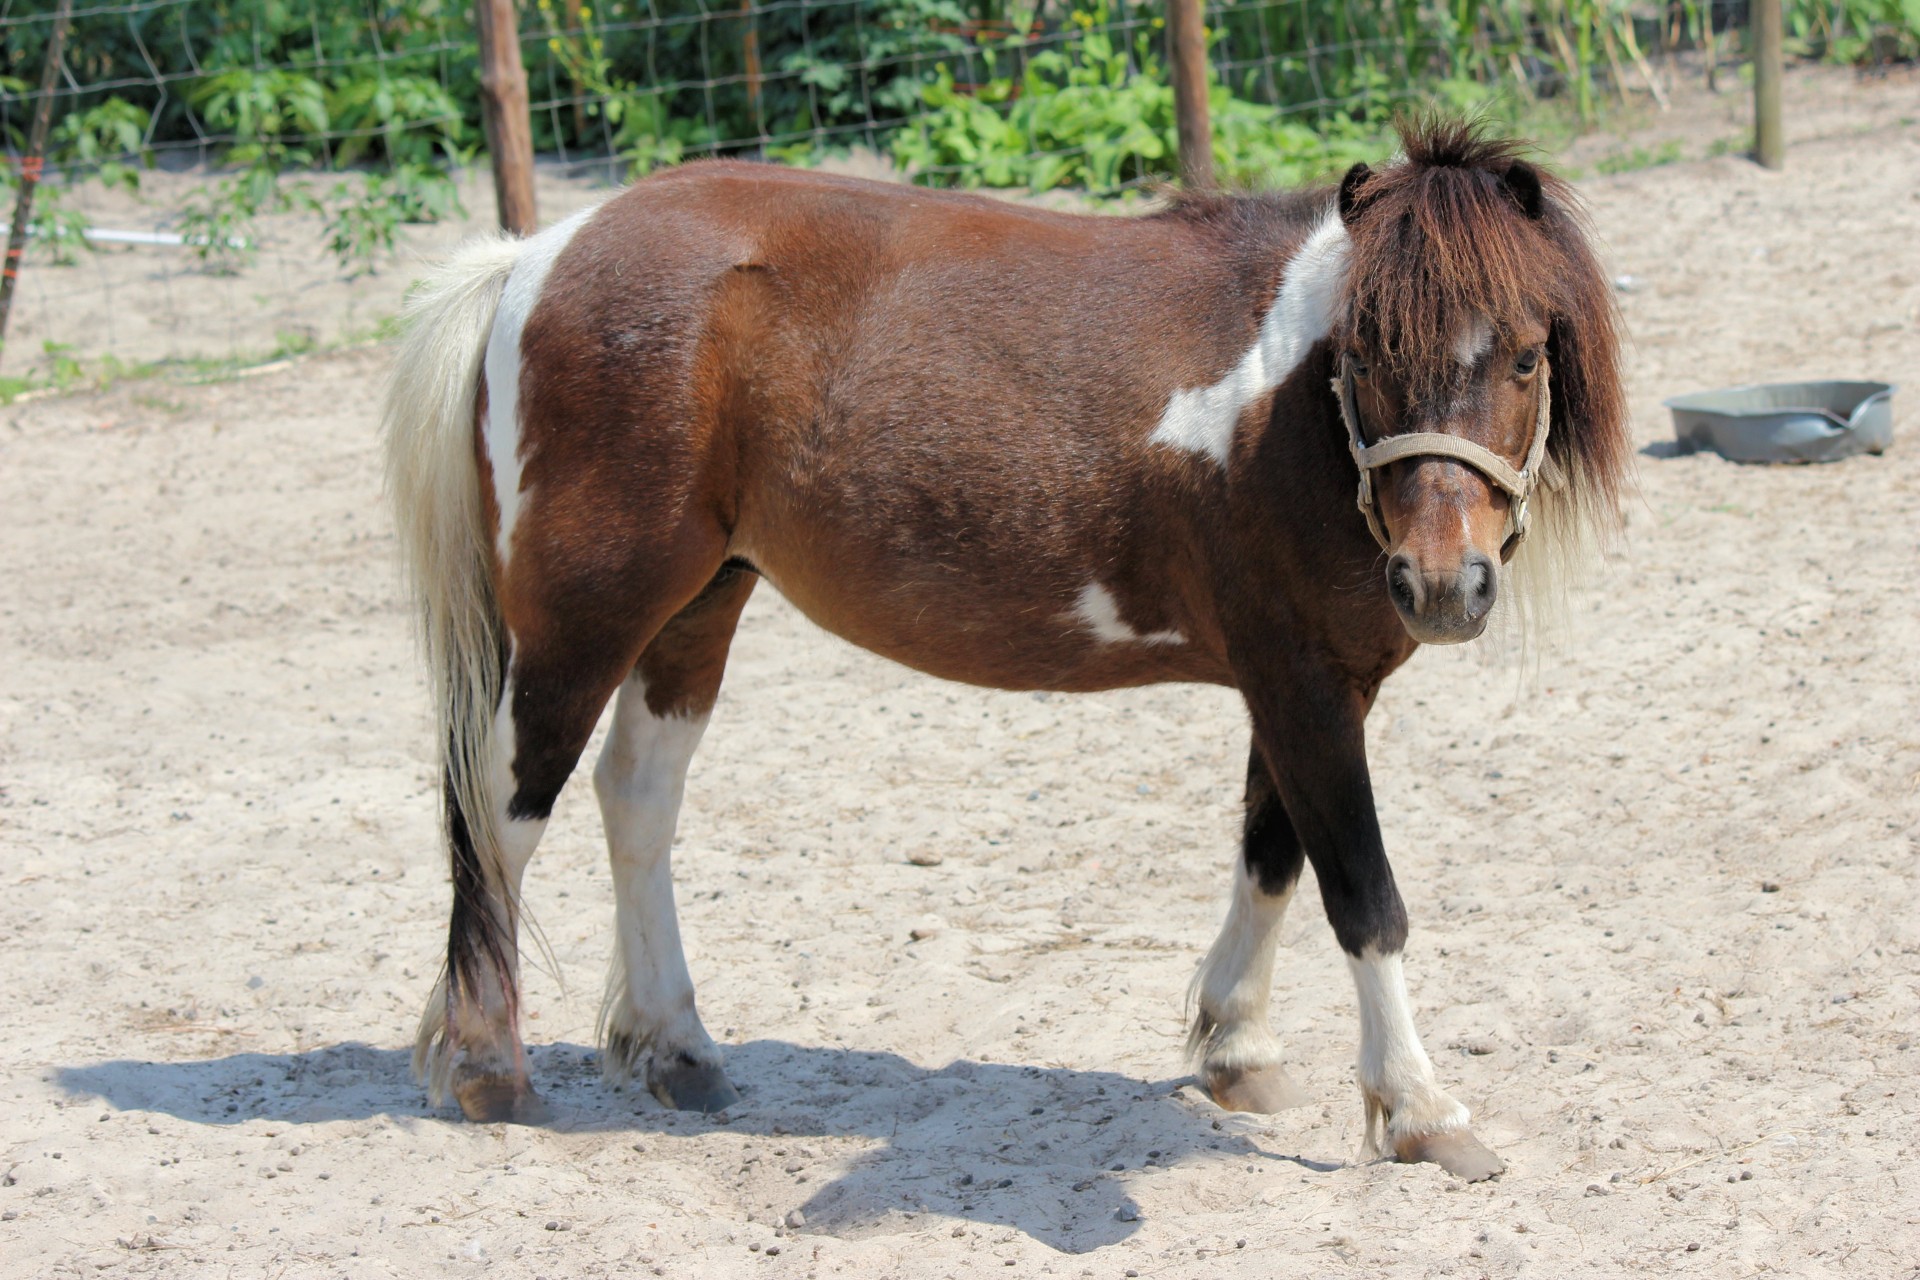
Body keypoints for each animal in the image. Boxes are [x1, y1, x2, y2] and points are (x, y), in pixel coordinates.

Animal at [385, 117, 1620, 1182]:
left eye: (1524, 357)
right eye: (1364, 351)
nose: (1442, 584)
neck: (1287, 400)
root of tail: (536, 256)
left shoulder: (1310, 685)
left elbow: (1272, 857)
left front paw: (1237, 1050)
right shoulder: (1303, 687)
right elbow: (1362, 892)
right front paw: (1420, 1109)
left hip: (699, 605)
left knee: (636, 799)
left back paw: (674, 1048)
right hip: (582, 620)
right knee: (501, 812)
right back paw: (487, 1063)